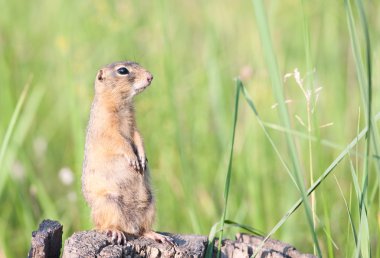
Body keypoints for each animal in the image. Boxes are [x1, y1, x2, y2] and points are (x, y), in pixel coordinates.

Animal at [83, 61, 172, 245]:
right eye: (122, 70)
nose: (150, 76)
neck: (122, 103)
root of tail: (130, 226)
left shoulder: (134, 126)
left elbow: (138, 137)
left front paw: (142, 159)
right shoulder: (107, 129)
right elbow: (119, 142)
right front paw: (133, 159)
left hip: (150, 203)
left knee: (142, 230)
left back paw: (155, 235)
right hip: (109, 204)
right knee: (105, 225)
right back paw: (115, 231)